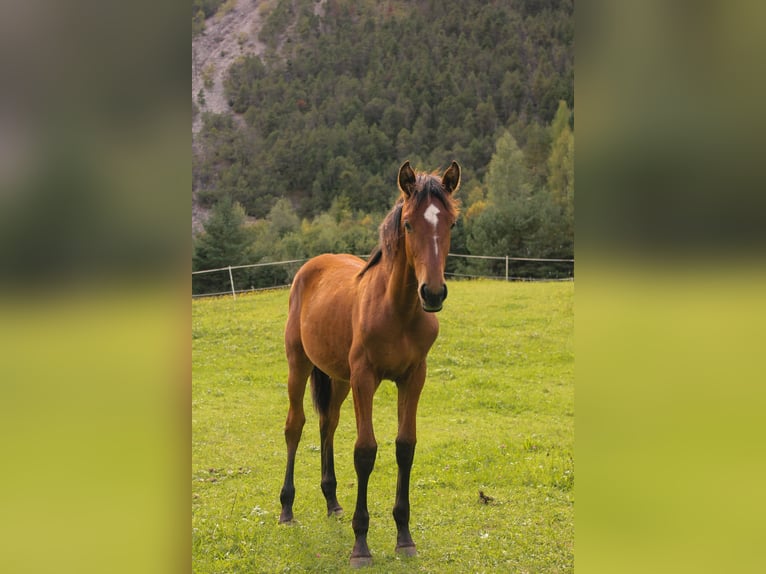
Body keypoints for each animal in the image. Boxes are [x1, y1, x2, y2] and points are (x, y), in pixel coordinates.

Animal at [278, 160, 461, 567]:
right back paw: (286, 508)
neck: (399, 311)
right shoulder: (365, 378)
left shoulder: (414, 377)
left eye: (451, 223)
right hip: (300, 364)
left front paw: (404, 537)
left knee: (327, 423)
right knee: (295, 426)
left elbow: (405, 446)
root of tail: (312, 265)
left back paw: (332, 501)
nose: (433, 293)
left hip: (338, 378)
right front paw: (360, 544)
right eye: (407, 223)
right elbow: (365, 451)